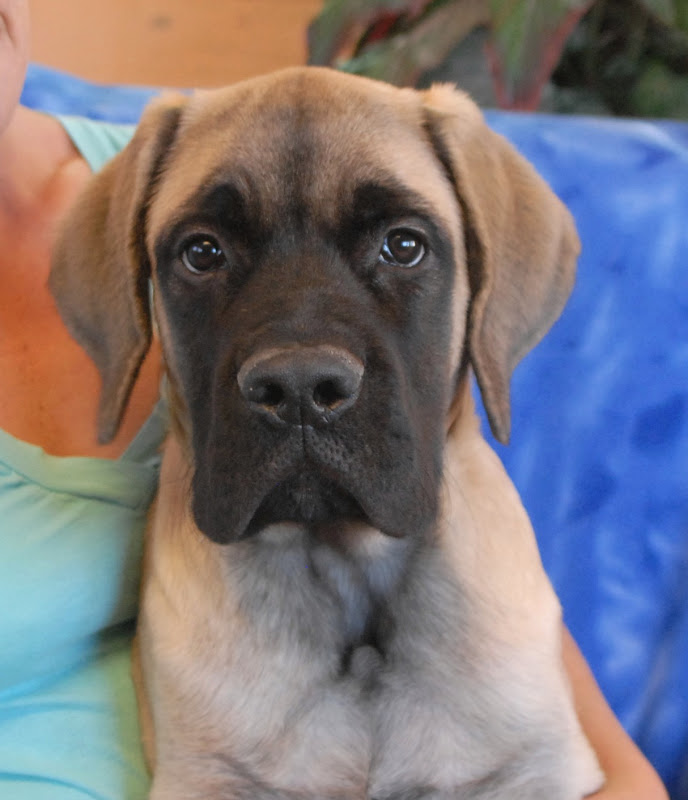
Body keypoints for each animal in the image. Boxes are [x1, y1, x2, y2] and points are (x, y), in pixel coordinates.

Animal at [51, 67, 604, 800]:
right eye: (202, 252)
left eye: (404, 245)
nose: (299, 389)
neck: (350, 577)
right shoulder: (206, 775)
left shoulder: (538, 767)